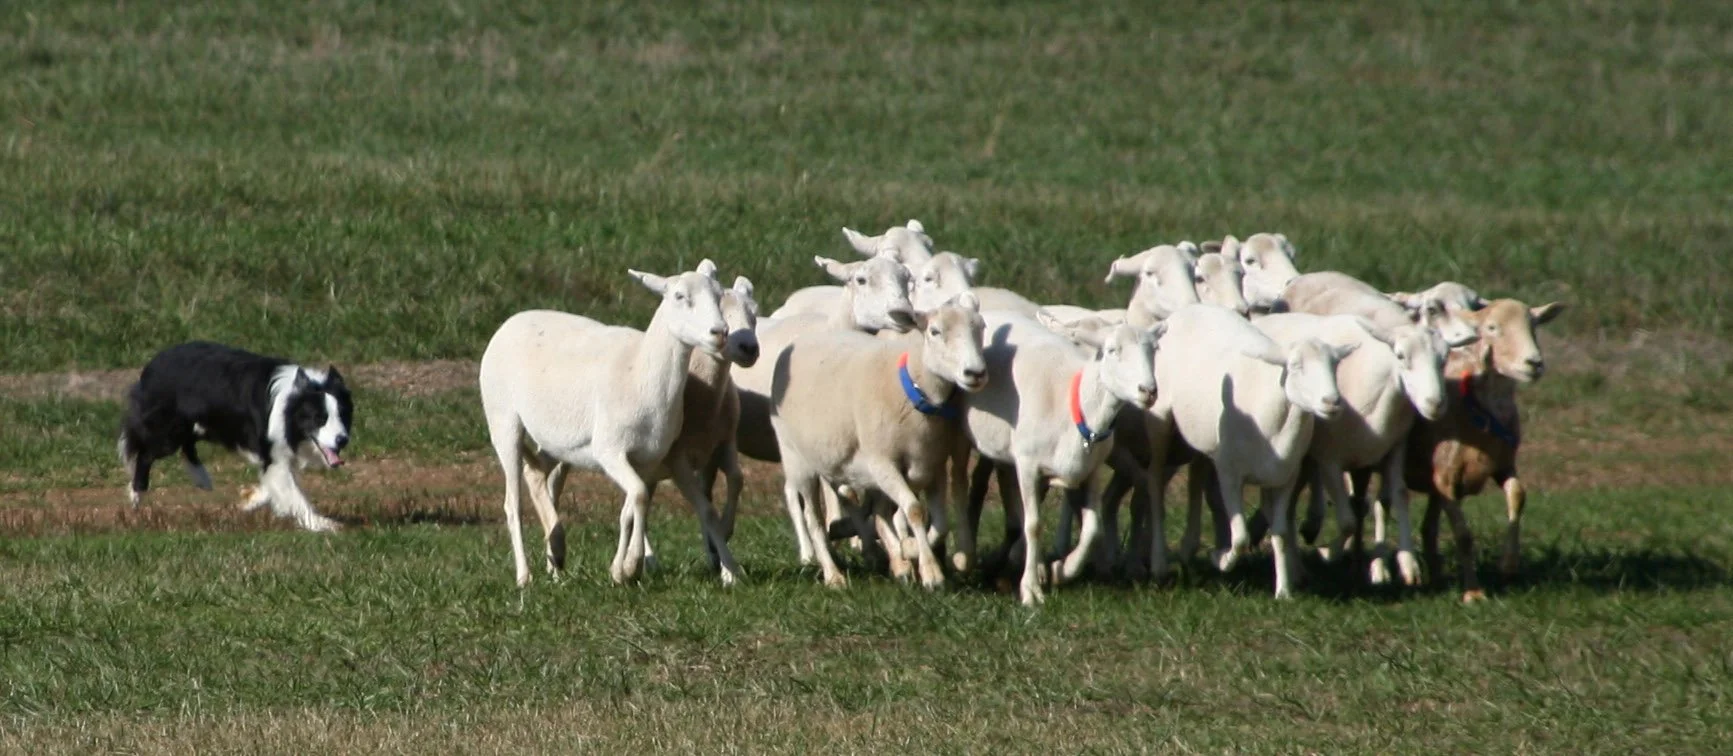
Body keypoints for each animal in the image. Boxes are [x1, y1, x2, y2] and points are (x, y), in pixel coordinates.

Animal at [479, 260, 738, 587]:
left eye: (718, 296)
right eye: (680, 296)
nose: (720, 332)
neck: (641, 371)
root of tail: (509, 322)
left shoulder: (650, 458)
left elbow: (637, 506)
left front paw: (624, 568)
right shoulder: (610, 450)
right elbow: (638, 496)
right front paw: (628, 567)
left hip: (556, 441)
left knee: (536, 474)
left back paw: (557, 554)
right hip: (503, 420)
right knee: (513, 503)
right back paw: (525, 575)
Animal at [770, 292, 989, 588]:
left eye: (981, 328)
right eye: (934, 331)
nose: (975, 373)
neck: (912, 389)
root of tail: (801, 340)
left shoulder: (932, 466)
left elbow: (939, 523)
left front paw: (910, 550)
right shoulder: (883, 463)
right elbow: (914, 510)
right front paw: (931, 572)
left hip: (836, 458)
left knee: (875, 509)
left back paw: (896, 561)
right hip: (797, 460)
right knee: (814, 520)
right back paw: (833, 575)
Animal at [946, 310, 1159, 604]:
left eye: (1154, 350)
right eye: (1112, 350)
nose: (1148, 391)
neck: (1075, 405)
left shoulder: (1090, 470)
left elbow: (1092, 527)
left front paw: (1062, 570)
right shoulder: (1027, 465)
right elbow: (1034, 524)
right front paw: (1031, 590)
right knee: (966, 484)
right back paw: (966, 557)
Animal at [1147, 304, 1355, 597]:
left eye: (1335, 365)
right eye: (1296, 366)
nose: (1332, 402)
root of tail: (1190, 308)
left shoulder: (1285, 477)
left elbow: (1280, 533)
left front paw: (1283, 591)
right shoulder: (1230, 475)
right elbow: (1241, 537)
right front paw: (1221, 559)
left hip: (1204, 438)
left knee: (1196, 477)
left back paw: (1188, 548)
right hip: (1159, 420)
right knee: (1155, 485)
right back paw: (1159, 564)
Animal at [1404, 298, 1564, 603]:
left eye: (1533, 325)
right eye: (1491, 328)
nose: (1534, 363)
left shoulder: (1502, 465)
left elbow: (1518, 496)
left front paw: (1509, 565)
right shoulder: (1446, 477)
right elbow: (1463, 535)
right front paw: (1473, 593)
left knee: (1427, 528)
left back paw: (1436, 577)